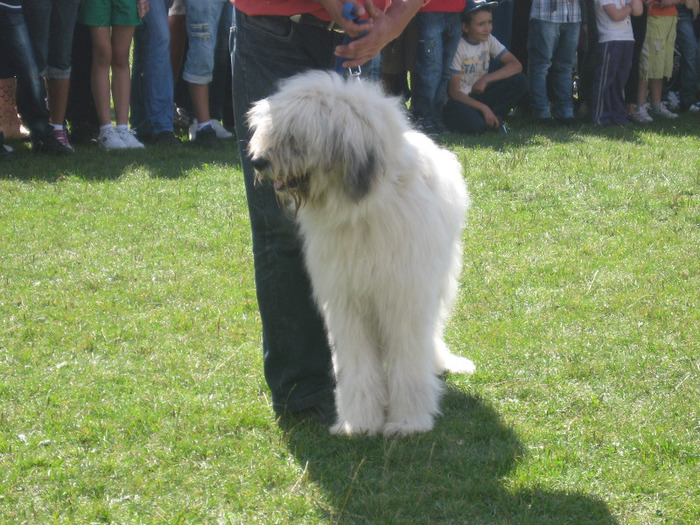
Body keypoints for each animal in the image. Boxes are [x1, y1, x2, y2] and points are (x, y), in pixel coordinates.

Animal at [247, 69, 476, 434]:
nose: (257, 161)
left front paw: (407, 421)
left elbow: (407, 359)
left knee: (430, 331)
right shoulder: (346, 301)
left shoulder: (404, 296)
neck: (360, 209)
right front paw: (359, 422)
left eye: (296, 135)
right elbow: (357, 365)